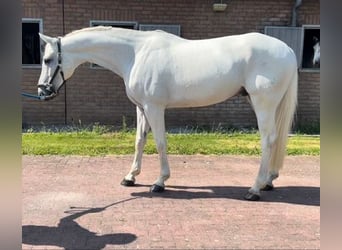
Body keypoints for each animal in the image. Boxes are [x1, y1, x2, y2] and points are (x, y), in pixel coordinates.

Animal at [37, 26, 296, 200]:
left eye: (48, 59)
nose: (42, 91)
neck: (135, 53)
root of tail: (288, 50)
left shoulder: (155, 107)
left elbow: (160, 142)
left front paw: (160, 182)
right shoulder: (141, 108)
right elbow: (139, 141)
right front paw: (130, 177)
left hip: (263, 103)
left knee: (268, 140)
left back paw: (254, 189)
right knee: (274, 140)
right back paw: (268, 181)